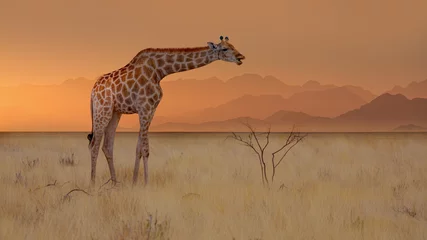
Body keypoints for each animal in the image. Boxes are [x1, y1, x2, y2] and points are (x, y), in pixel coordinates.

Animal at [87, 34, 246, 187]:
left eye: (233, 46)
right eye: (225, 49)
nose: (241, 57)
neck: (160, 70)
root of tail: (93, 92)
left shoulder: (151, 109)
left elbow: (139, 149)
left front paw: (134, 182)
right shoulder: (145, 108)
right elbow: (145, 149)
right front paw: (146, 184)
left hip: (115, 112)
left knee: (107, 146)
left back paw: (115, 183)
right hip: (102, 110)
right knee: (94, 145)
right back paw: (93, 184)